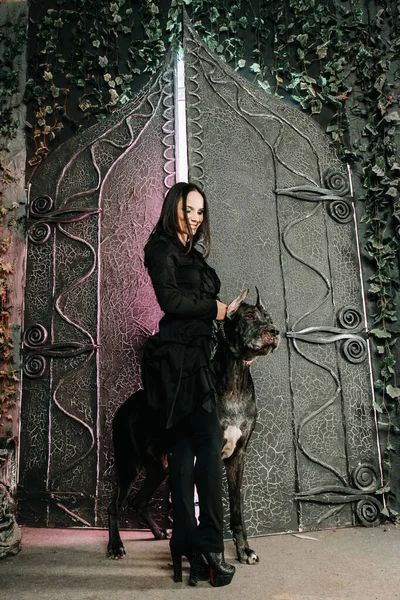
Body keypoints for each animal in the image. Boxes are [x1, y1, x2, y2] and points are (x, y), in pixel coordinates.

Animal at [108, 288, 280, 564]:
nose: (274, 331)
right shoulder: (203, 455)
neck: (235, 381)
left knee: (138, 501)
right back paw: (115, 546)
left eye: (270, 318)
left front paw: (244, 550)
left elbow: (236, 509)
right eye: (249, 316)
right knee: (115, 505)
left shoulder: (238, 456)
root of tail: (124, 406)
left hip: (158, 466)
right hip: (129, 463)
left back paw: (158, 532)